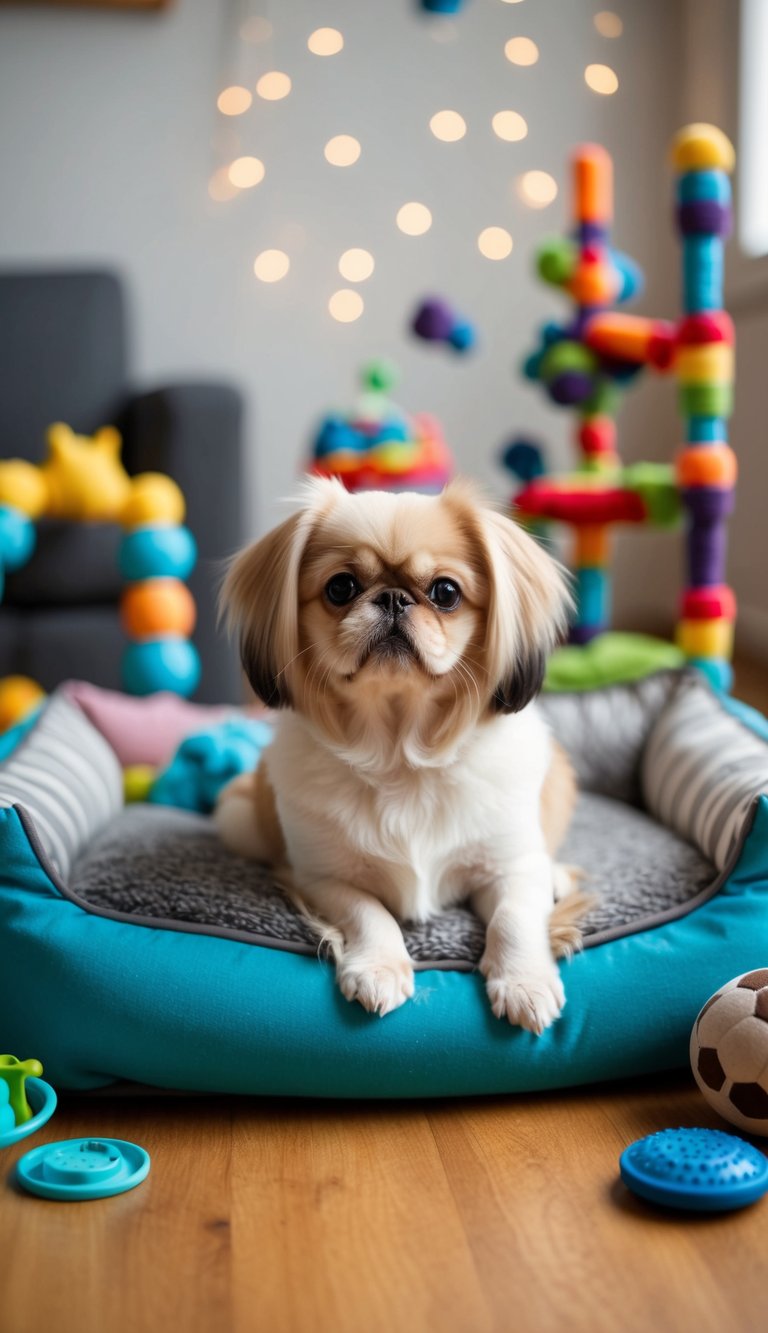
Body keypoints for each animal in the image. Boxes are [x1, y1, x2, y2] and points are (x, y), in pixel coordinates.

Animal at [216, 477, 588, 1034]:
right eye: (341, 588)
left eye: (445, 593)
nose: (393, 598)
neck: (400, 754)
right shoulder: (322, 877)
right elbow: (369, 912)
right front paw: (378, 968)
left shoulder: (510, 869)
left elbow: (514, 920)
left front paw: (524, 982)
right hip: (237, 819)